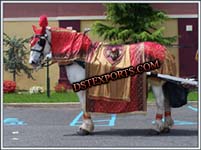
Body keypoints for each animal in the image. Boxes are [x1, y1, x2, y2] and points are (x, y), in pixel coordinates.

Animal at [28, 24, 176, 135]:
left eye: (40, 41)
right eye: (31, 42)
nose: (32, 62)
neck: (79, 54)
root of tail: (163, 49)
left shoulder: (81, 87)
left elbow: (83, 105)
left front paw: (86, 127)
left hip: (156, 82)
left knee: (160, 101)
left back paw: (158, 126)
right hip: (162, 82)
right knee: (167, 99)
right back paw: (166, 125)